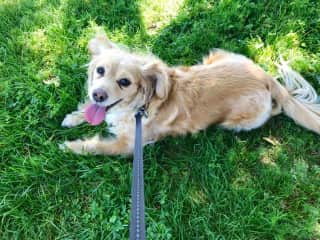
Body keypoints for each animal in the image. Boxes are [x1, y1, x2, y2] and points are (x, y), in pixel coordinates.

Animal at [60, 32, 320, 156]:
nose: (98, 95)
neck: (139, 107)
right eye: (100, 70)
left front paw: (71, 147)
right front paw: (74, 117)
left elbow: (97, 146)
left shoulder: (128, 146)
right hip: (217, 55)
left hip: (238, 121)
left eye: (124, 82)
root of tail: (264, 76)